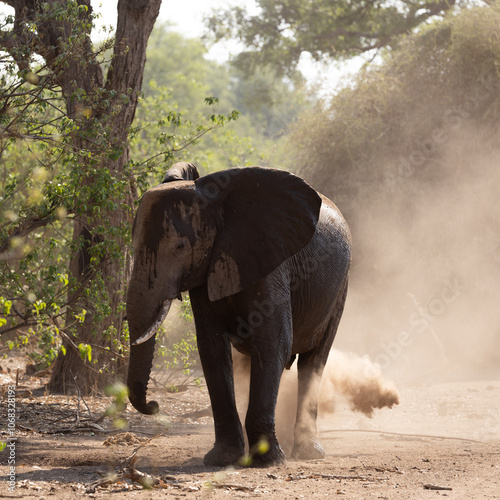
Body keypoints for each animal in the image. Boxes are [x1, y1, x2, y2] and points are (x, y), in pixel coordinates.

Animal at [125, 162, 352, 466]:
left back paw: (307, 453)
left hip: (340, 288)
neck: (215, 200)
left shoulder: (270, 263)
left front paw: (269, 460)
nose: (154, 404)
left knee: (313, 362)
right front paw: (222, 458)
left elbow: (273, 344)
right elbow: (212, 349)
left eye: (180, 247)